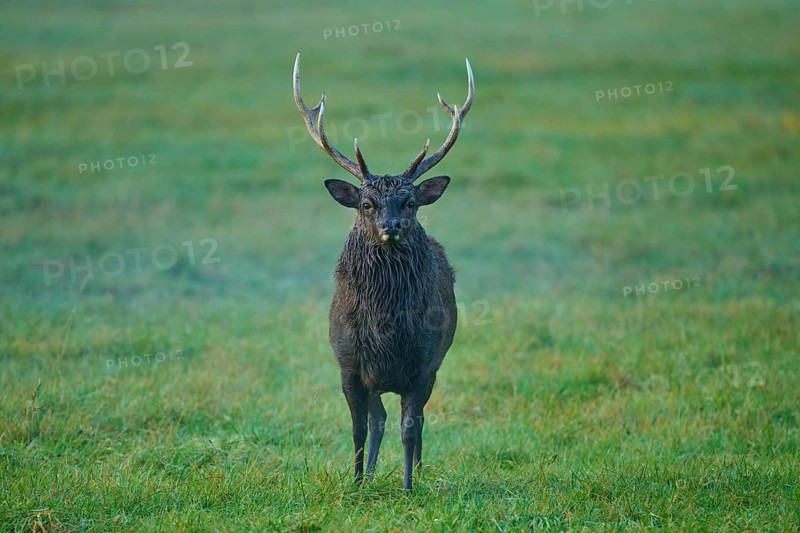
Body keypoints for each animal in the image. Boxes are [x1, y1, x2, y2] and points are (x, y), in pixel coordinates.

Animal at [292, 53, 474, 491]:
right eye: (367, 203)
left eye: (410, 202)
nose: (392, 225)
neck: (386, 328)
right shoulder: (348, 364)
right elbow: (359, 427)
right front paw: (356, 482)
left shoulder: (424, 364)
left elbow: (411, 426)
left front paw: (408, 487)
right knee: (378, 420)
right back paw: (371, 474)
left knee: (414, 422)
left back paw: (418, 472)